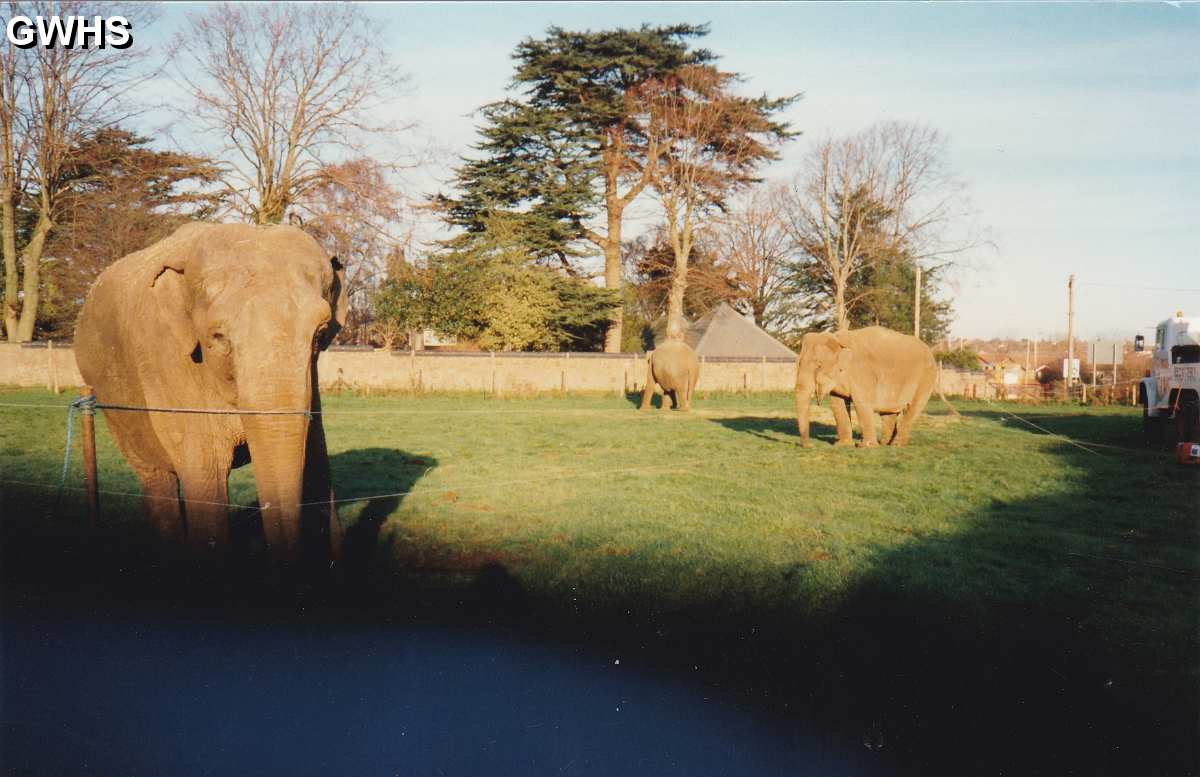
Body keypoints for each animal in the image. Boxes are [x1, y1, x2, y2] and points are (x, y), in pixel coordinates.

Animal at [75, 221, 348, 568]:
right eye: (218, 337)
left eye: (320, 333)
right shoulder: (166, 359)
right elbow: (206, 477)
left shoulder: (308, 384)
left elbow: (316, 461)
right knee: (156, 477)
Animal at [792, 326, 950, 446]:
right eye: (798, 363)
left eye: (818, 365)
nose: (809, 446)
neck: (838, 339)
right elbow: (837, 404)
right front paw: (842, 445)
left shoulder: (862, 373)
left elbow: (862, 402)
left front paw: (866, 447)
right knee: (888, 414)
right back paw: (885, 443)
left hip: (926, 378)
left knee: (912, 409)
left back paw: (896, 445)